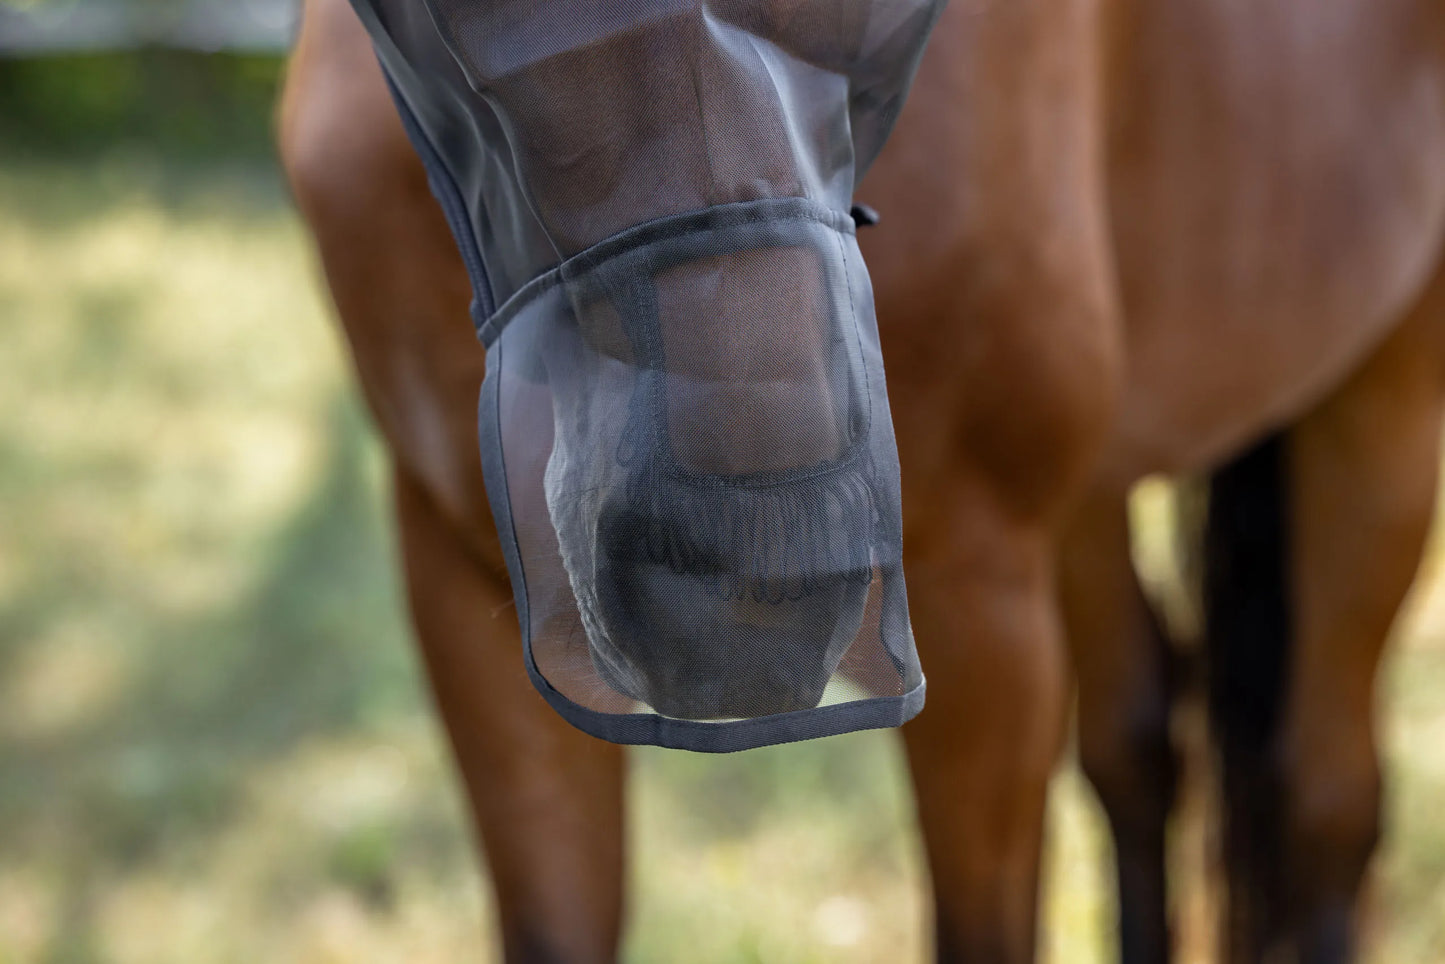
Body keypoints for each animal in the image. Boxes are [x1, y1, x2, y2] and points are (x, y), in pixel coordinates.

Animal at [277, 0, 1445, 960]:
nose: (746, 561)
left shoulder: (981, 602)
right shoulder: (464, 580)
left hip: (1381, 400)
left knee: (1324, 799)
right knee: (1144, 741)